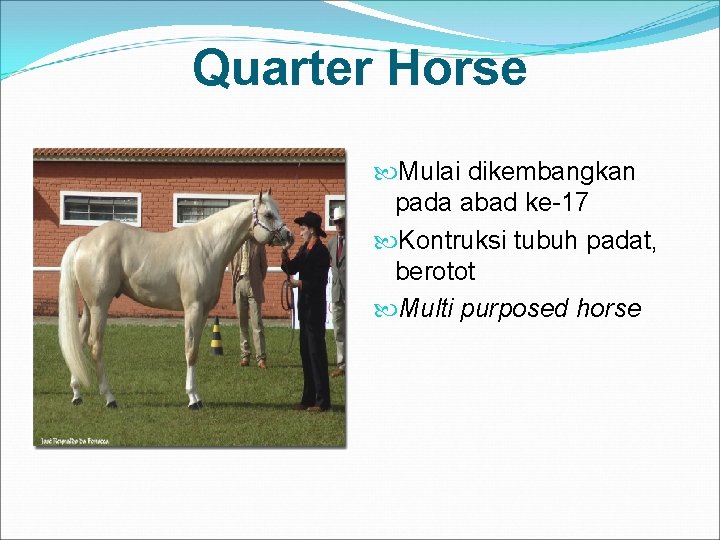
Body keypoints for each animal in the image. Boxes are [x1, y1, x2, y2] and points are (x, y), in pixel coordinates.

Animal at [58, 191, 293, 409]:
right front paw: (192, 399)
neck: (207, 247)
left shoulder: (204, 312)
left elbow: (195, 350)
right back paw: (109, 398)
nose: (289, 237)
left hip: (89, 306)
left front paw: (197, 396)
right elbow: (190, 351)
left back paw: (77, 394)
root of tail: (85, 241)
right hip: (100, 305)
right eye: (268, 214)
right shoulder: (192, 308)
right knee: (95, 345)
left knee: (79, 340)